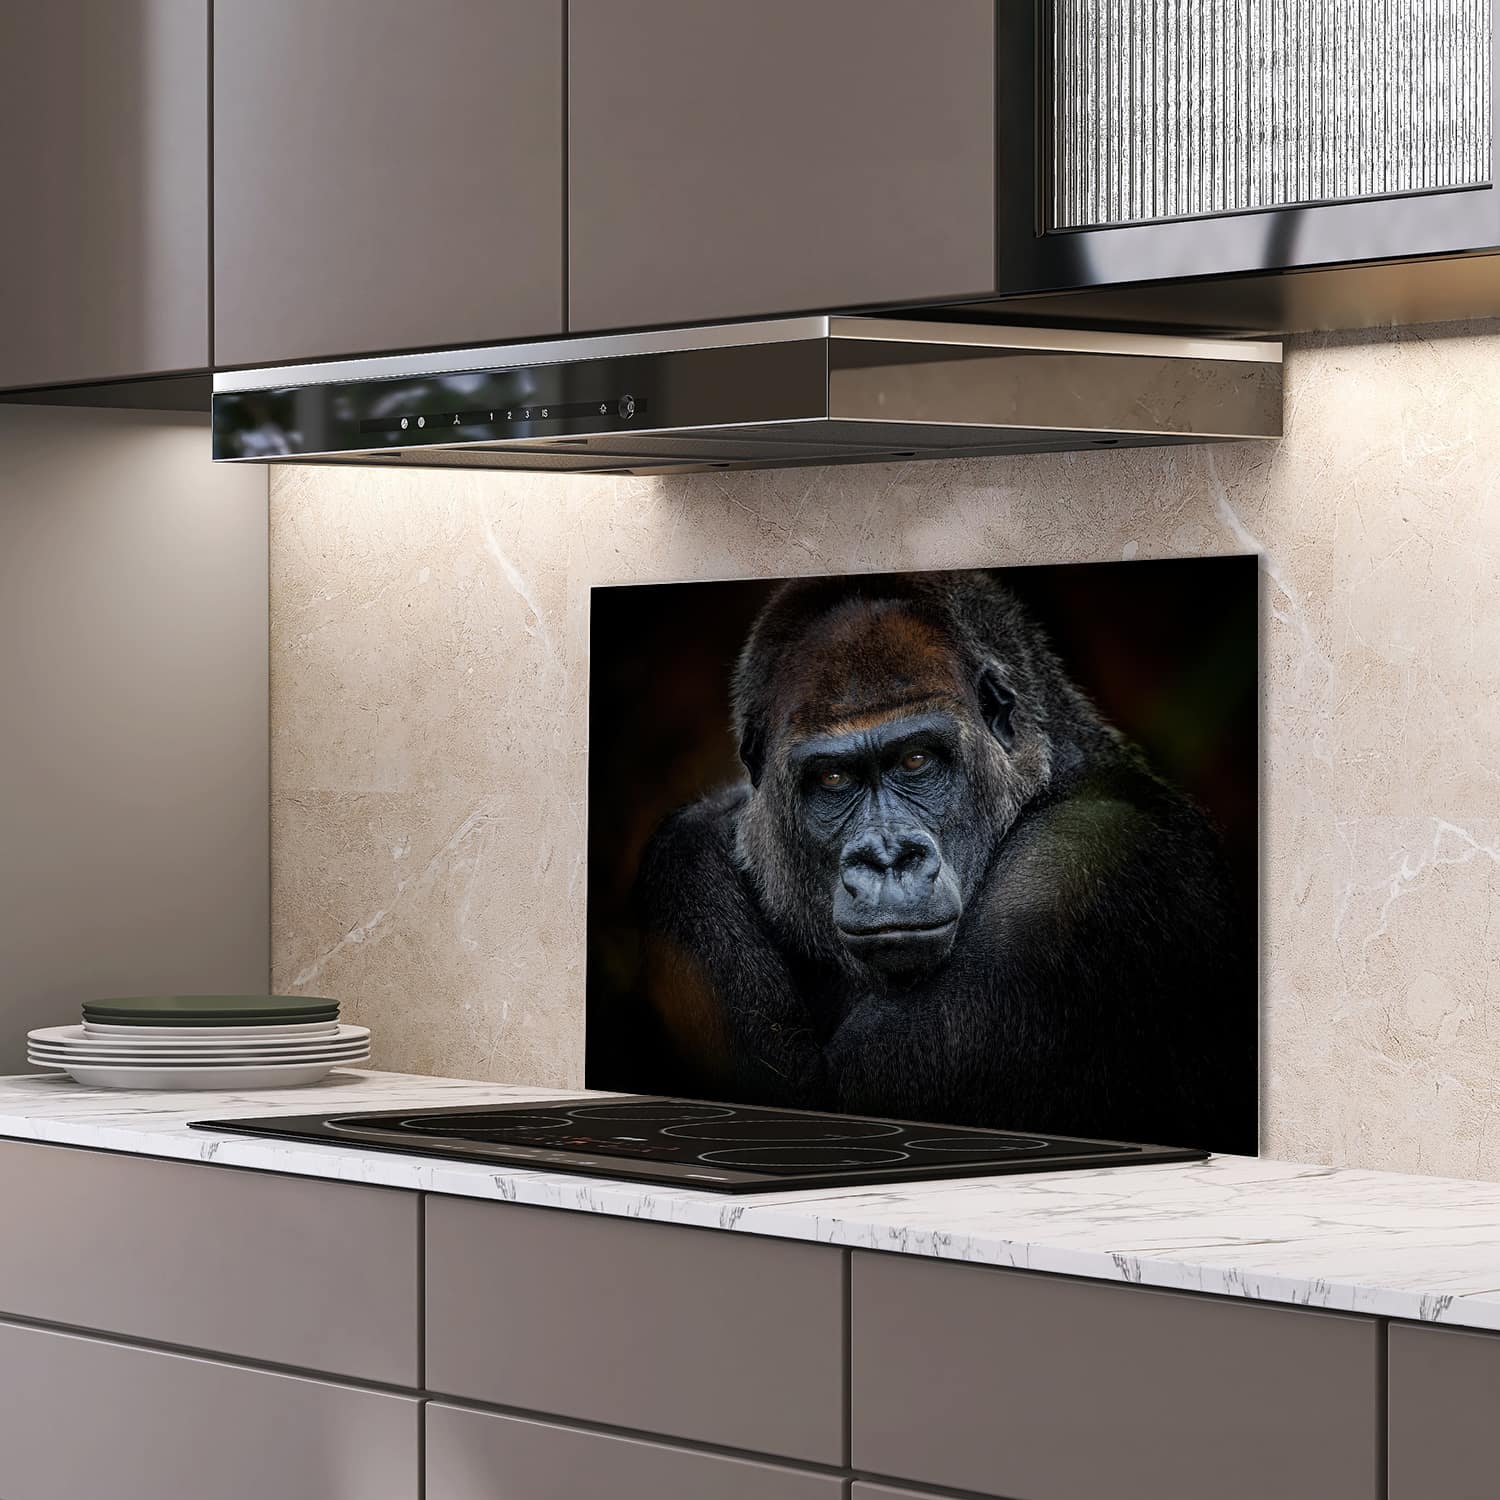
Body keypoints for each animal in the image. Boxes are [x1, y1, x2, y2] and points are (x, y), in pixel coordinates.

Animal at [630, 570, 1256, 1155]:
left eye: (916, 760)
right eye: (832, 778)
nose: (888, 858)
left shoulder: (1074, 870)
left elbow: (822, 1098)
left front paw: (710, 823)